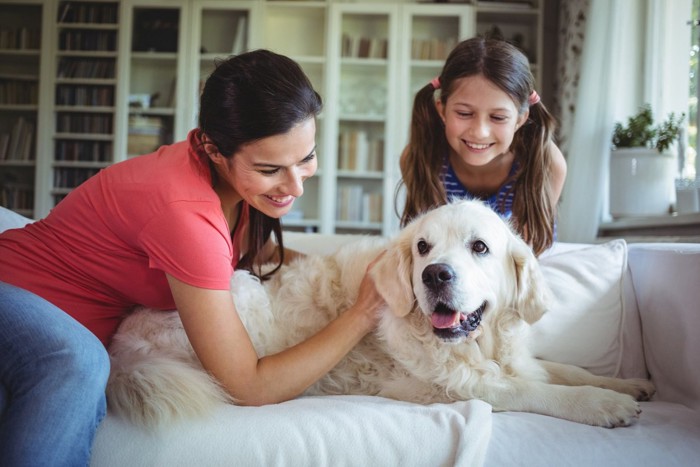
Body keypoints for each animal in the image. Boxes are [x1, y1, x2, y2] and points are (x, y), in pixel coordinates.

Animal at [105, 199, 656, 430]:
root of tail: (118, 350)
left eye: (479, 247)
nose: (435, 275)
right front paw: (602, 405)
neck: (478, 344)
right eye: (423, 247)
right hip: (240, 298)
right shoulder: (456, 385)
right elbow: (537, 391)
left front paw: (629, 383)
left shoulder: (516, 358)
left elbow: (562, 369)